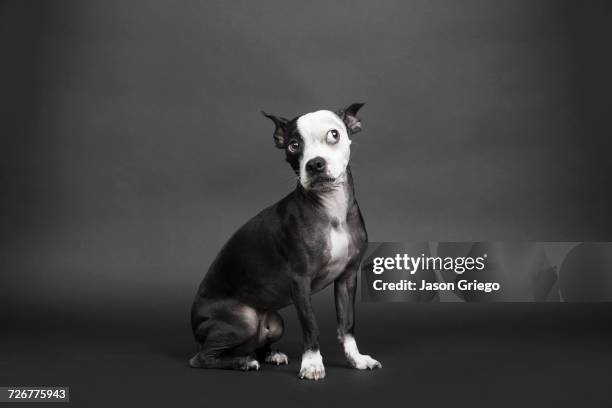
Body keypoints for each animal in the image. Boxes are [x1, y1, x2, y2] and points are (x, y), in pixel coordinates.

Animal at [190, 103, 382, 380]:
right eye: (293, 145)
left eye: (334, 134)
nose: (315, 164)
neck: (331, 208)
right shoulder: (300, 282)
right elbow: (310, 325)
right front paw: (312, 364)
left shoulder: (347, 278)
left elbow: (347, 324)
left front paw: (356, 359)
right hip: (242, 321)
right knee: (201, 357)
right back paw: (243, 362)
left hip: (275, 323)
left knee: (256, 342)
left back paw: (268, 355)